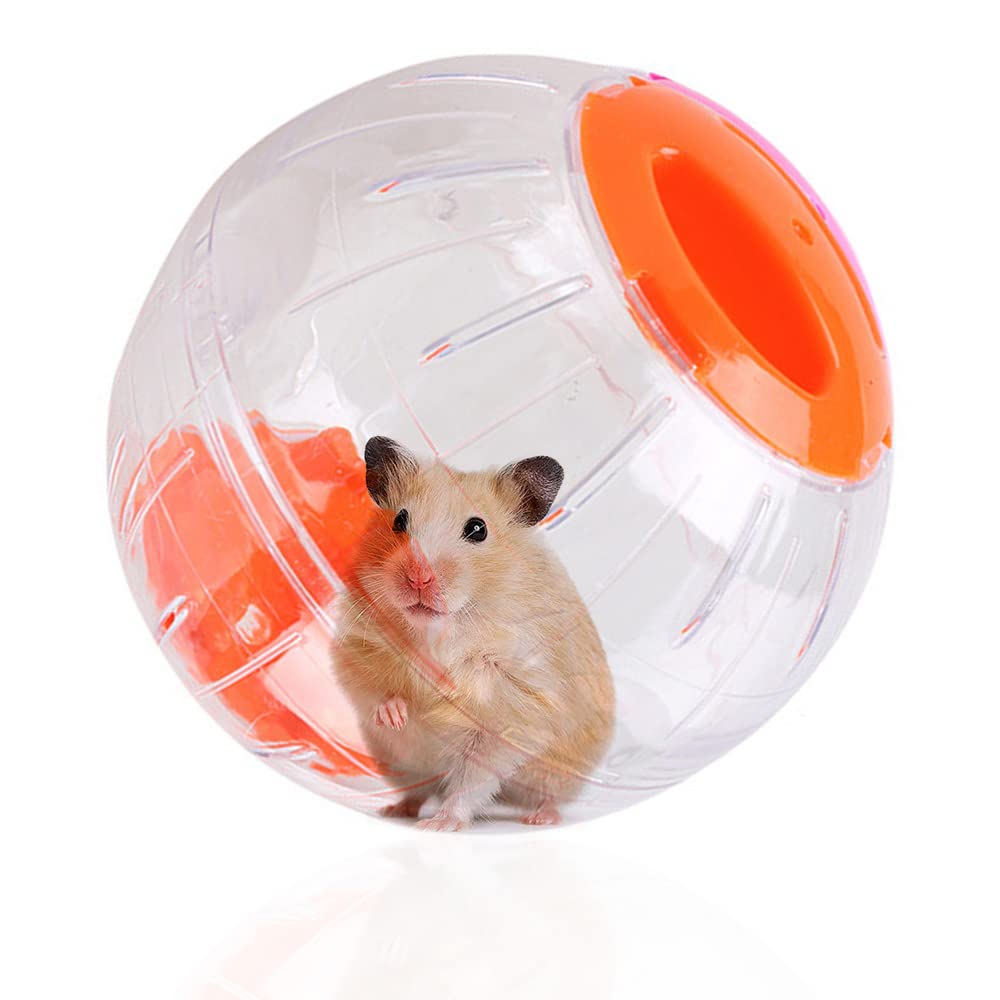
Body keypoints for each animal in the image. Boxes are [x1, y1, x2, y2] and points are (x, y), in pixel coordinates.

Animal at [331, 436, 615, 831]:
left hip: (560, 772)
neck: (437, 631)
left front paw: (441, 825)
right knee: (418, 790)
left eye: (478, 529)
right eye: (399, 520)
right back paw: (394, 809)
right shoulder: (356, 647)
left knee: (546, 796)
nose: (418, 578)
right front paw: (400, 714)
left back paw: (538, 819)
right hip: (402, 763)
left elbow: (472, 779)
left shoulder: (512, 713)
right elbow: (375, 690)